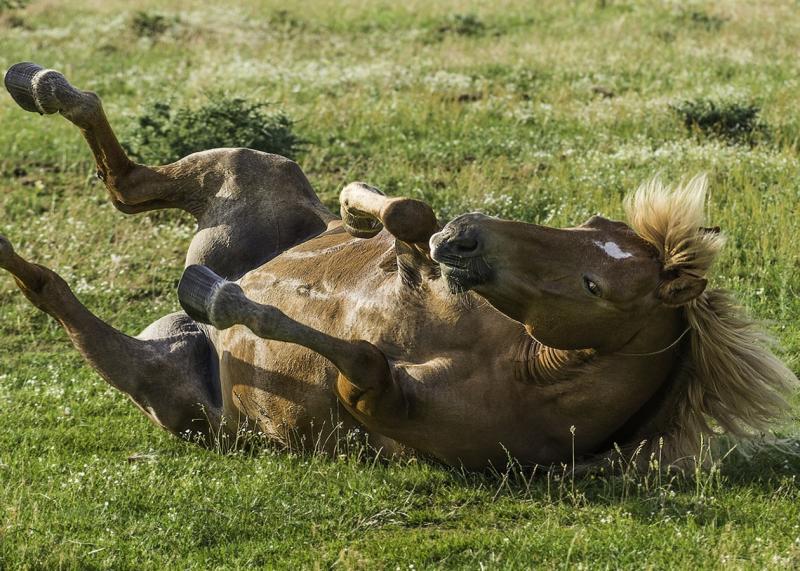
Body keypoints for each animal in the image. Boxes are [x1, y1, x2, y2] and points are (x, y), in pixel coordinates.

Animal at [3, 63, 796, 470]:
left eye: (594, 285)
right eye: (589, 227)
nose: (467, 240)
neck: (524, 369)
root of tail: (176, 339)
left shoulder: (375, 396)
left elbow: (361, 354)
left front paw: (219, 296)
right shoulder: (426, 261)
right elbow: (410, 214)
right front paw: (361, 211)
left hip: (161, 388)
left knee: (55, 285)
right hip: (249, 167)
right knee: (127, 180)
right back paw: (37, 84)